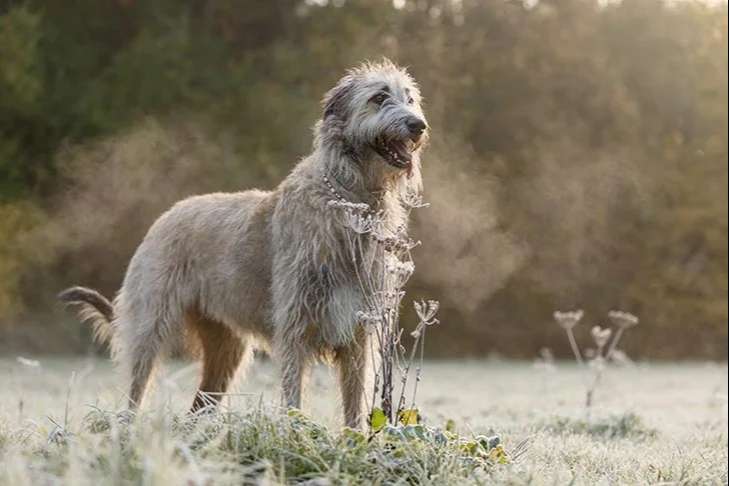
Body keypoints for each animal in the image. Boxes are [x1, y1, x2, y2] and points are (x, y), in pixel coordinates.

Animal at [62, 60, 430, 430]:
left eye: (410, 99)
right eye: (379, 97)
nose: (418, 125)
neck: (351, 199)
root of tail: (165, 217)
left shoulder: (358, 332)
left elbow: (354, 401)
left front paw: (354, 439)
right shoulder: (295, 325)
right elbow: (293, 394)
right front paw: (295, 432)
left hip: (226, 348)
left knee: (200, 404)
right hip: (150, 324)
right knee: (136, 388)